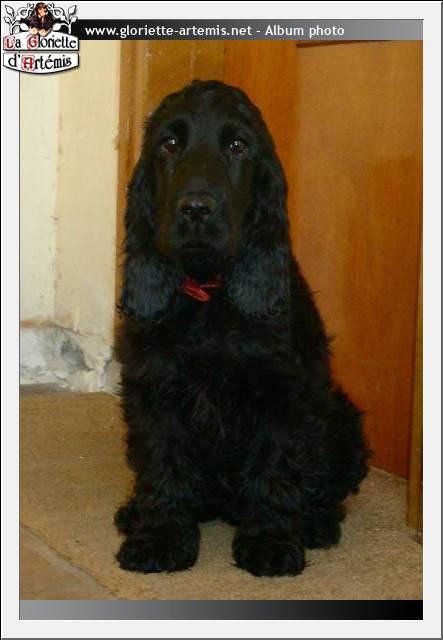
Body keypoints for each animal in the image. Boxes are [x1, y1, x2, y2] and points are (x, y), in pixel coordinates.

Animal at [114, 80, 369, 577]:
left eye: (237, 146)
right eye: (168, 144)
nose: (196, 209)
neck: (208, 291)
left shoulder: (279, 392)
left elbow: (274, 467)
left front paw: (270, 542)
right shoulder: (153, 387)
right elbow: (161, 462)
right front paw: (159, 537)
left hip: (343, 416)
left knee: (323, 484)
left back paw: (316, 523)